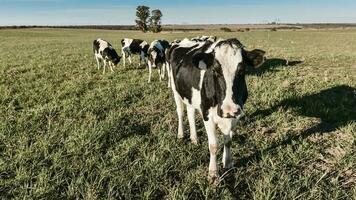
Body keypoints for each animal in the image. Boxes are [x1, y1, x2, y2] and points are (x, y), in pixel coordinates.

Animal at [168, 37, 266, 184]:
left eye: (242, 70)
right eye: (215, 70)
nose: (229, 109)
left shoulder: (235, 115)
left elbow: (228, 141)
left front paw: (228, 163)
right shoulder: (207, 114)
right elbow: (213, 145)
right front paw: (213, 174)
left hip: (190, 96)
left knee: (190, 113)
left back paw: (194, 138)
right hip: (175, 90)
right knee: (180, 112)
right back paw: (181, 134)